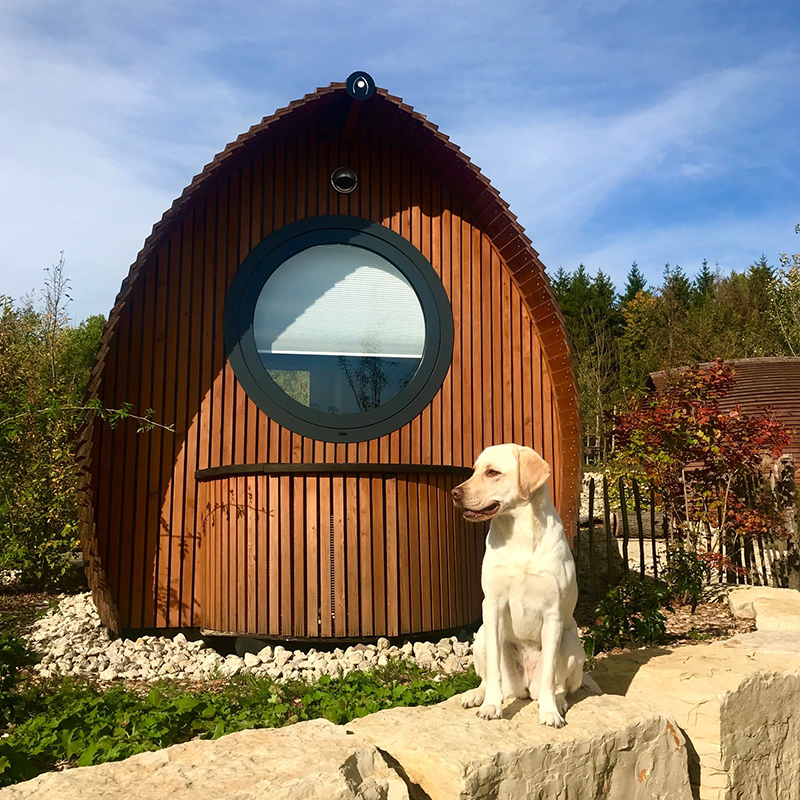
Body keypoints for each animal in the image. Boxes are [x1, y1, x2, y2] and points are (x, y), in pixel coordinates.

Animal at [454, 444, 584, 724]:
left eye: (492, 472)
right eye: (473, 470)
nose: (454, 493)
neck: (520, 534)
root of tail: (522, 688)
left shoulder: (553, 614)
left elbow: (549, 675)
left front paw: (549, 712)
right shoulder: (492, 605)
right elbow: (493, 669)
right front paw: (491, 706)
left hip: (572, 643)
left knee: (560, 684)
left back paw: (557, 701)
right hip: (481, 634)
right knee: (487, 677)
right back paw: (476, 695)